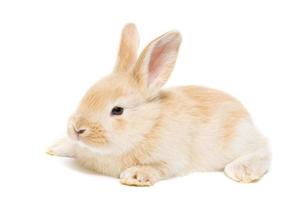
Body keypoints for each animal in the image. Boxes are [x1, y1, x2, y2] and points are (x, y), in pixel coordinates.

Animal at [48, 24, 270, 187]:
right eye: (87, 93)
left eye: (117, 110)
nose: (77, 129)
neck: (147, 127)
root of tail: (248, 118)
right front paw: (56, 146)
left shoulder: (173, 160)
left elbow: (160, 168)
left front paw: (135, 175)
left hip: (241, 140)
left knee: (264, 151)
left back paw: (242, 170)